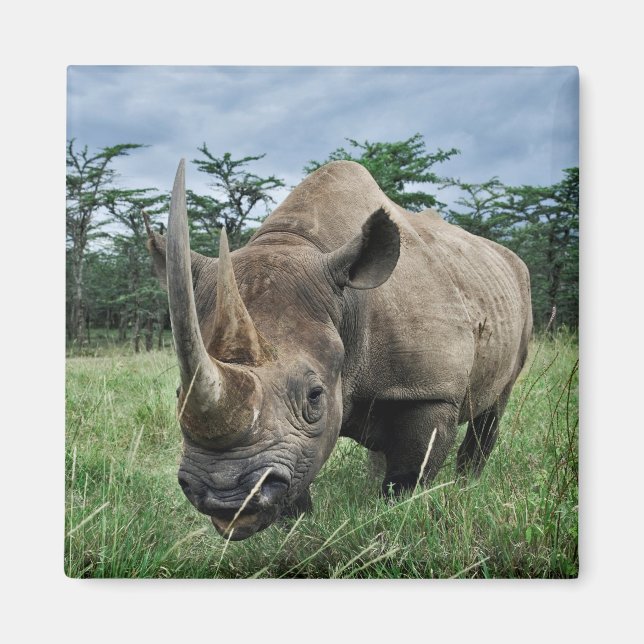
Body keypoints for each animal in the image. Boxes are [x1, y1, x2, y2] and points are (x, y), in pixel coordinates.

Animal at [146, 159, 532, 540]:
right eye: (179, 394)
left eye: (315, 395)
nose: (225, 497)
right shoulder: (299, 440)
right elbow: (301, 474)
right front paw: (298, 529)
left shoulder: (431, 391)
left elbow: (409, 476)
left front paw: (395, 517)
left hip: (517, 289)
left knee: (495, 405)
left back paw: (467, 486)